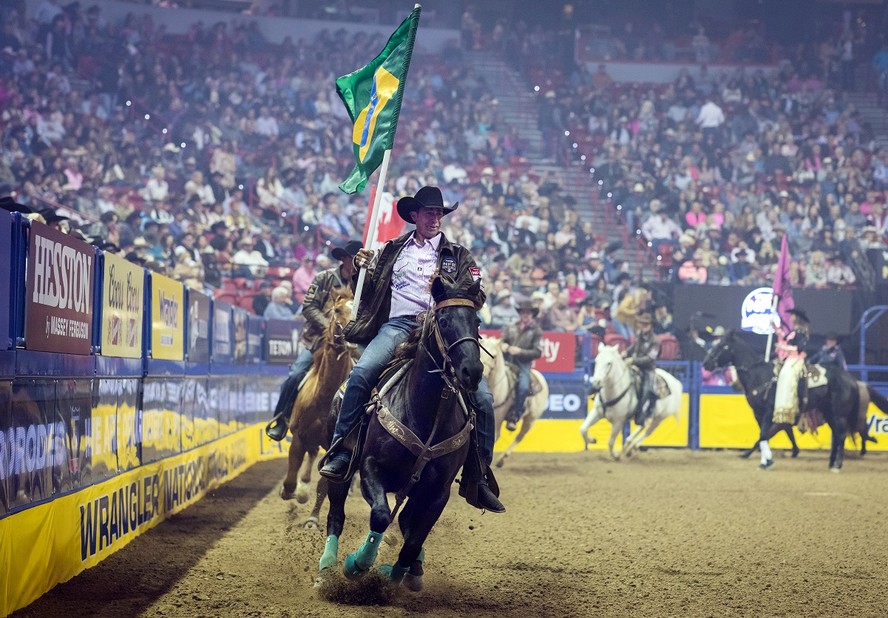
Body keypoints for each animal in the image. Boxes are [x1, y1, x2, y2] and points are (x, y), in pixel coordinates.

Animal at [280, 288, 358, 506]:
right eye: (337, 309)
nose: (352, 339)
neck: (323, 397)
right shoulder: (298, 436)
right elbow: (290, 479)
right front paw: (293, 492)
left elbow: (323, 487)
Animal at [478, 336, 548, 466]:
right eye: (480, 352)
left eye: (494, 356)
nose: (483, 372)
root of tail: (540, 377)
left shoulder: (497, 418)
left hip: (531, 419)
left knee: (520, 437)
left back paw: (501, 459)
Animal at [700, 330, 880, 470]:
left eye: (722, 346)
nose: (705, 364)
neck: (759, 375)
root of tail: (852, 379)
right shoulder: (758, 414)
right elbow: (763, 435)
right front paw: (764, 460)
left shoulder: (769, 412)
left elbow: (764, 434)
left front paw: (768, 461)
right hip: (829, 412)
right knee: (836, 434)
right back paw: (831, 463)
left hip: (840, 413)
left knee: (841, 434)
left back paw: (837, 464)